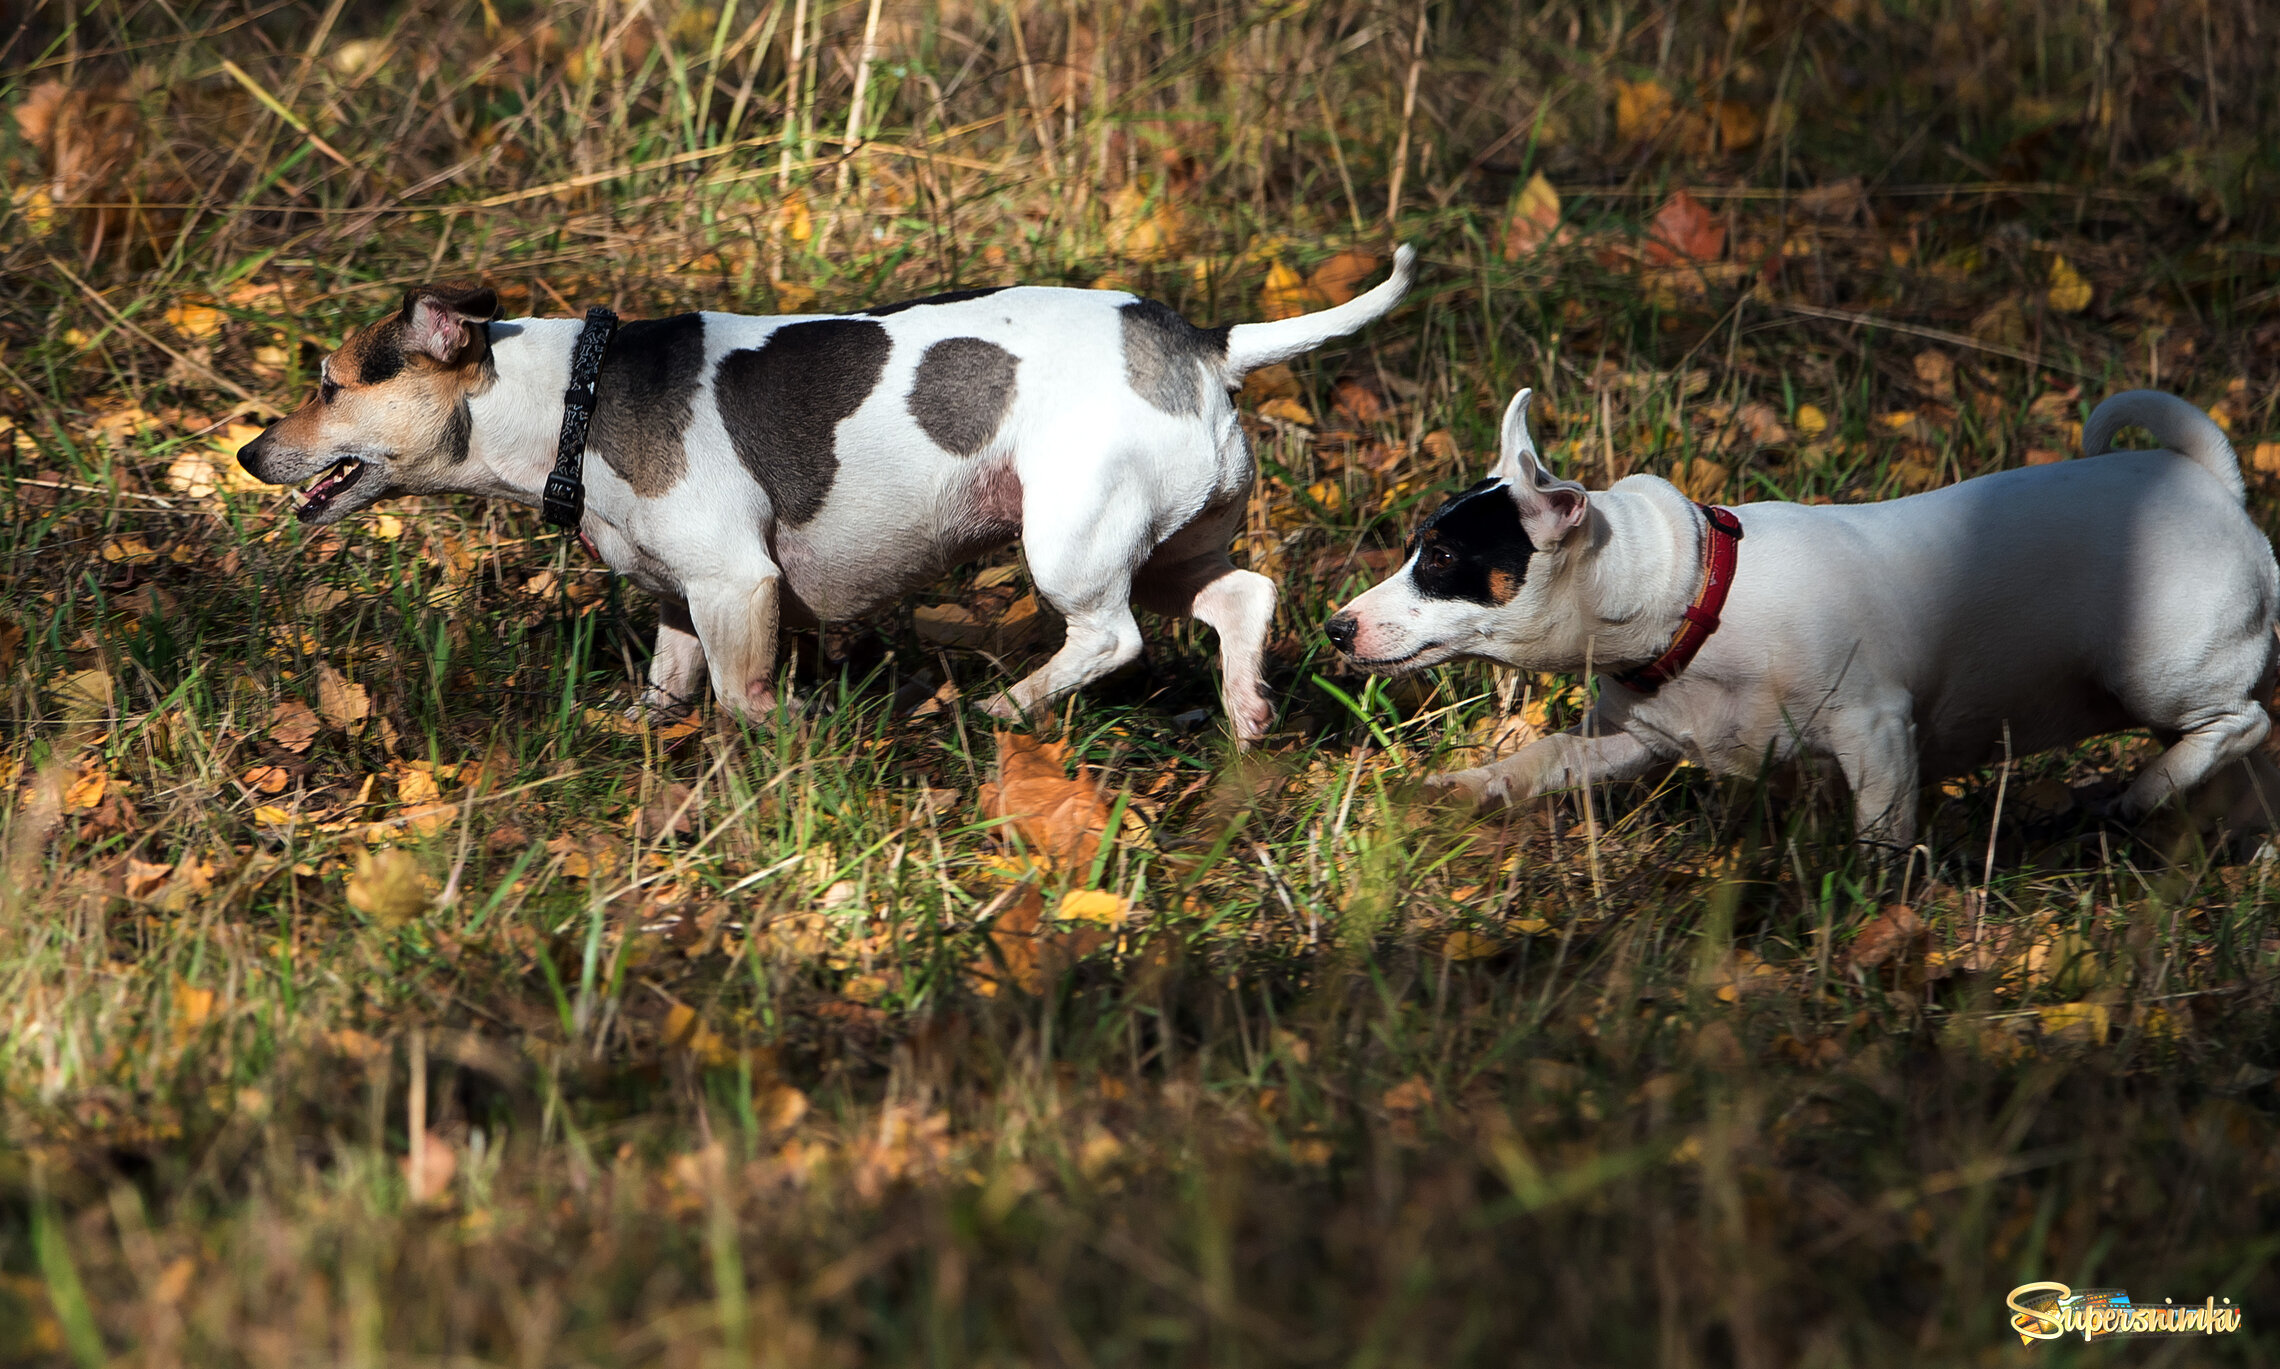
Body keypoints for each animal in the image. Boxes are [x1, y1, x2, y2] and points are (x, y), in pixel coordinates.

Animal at [235, 244, 1404, 739]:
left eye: (328, 383)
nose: (250, 453)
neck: (574, 395)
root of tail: (1203, 343)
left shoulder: (737, 584)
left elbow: (742, 694)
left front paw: (783, 732)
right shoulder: (683, 597)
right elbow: (671, 683)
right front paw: (637, 726)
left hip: (1072, 537)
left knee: (1109, 640)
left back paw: (1000, 707)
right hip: (1168, 543)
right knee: (1242, 595)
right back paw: (1247, 707)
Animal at [1331, 385, 2280, 848]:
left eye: (1440, 560)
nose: (1337, 627)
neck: (1696, 595)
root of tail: (2213, 482)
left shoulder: (1878, 733)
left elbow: (1883, 837)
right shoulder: (1635, 740)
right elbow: (1545, 758)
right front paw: (1462, 788)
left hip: (2156, 670)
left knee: (2243, 722)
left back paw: (2141, 790)